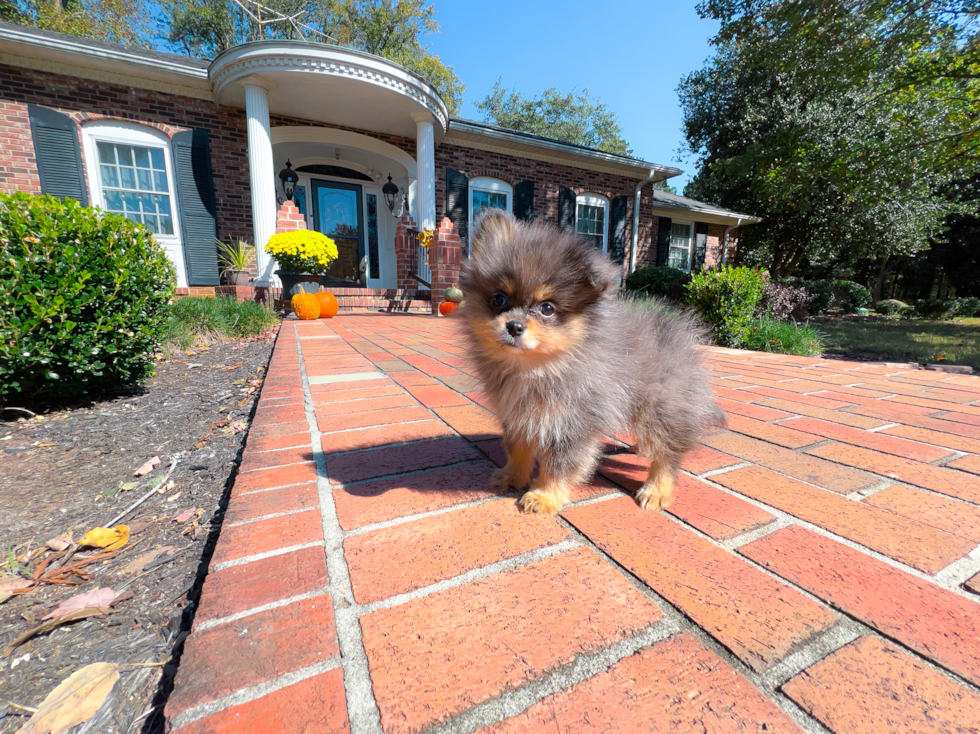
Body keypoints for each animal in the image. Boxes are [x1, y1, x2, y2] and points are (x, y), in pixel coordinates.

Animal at [462, 210, 728, 516]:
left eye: (547, 308)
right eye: (499, 299)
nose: (514, 326)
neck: (538, 368)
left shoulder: (571, 422)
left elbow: (558, 465)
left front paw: (543, 496)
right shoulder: (518, 416)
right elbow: (518, 449)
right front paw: (512, 476)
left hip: (661, 410)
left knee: (668, 454)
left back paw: (656, 490)